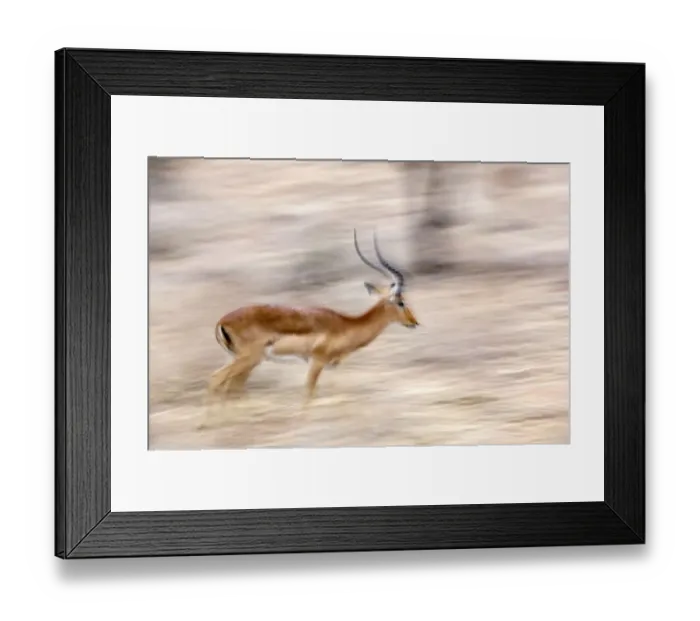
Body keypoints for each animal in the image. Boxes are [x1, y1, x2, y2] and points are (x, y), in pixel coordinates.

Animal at [207, 230, 420, 405]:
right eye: (401, 302)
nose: (414, 322)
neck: (346, 325)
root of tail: (222, 321)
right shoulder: (317, 362)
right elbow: (309, 393)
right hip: (247, 359)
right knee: (216, 379)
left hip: (245, 361)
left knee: (232, 388)